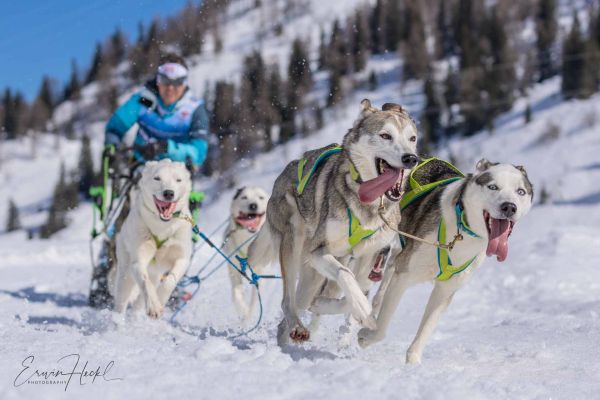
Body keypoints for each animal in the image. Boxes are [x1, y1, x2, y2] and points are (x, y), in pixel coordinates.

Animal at [109, 158, 193, 319]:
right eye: (157, 178)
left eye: (178, 180)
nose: (168, 193)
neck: (162, 227)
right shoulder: (138, 261)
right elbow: (145, 281)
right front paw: (154, 305)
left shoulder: (182, 259)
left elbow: (170, 281)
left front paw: (160, 298)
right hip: (126, 274)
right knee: (122, 301)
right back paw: (118, 320)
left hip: (155, 273)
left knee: (139, 303)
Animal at [223, 186, 270, 322]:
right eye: (244, 197)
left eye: (261, 197)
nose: (253, 205)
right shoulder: (234, 268)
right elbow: (236, 293)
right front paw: (243, 311)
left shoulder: (259, 273)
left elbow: (255, 300)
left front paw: (249, 317)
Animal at [247, 99, 419, 346]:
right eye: (386, 135)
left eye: (412, 138)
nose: (410, 158)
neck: (368, 204)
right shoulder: (319, 251)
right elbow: (346, 277)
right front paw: (362, 309)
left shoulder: (369, 258)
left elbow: (355, 292)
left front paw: (358, 312)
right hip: (294, 240)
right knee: (288, 301)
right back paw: (296, 326)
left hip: (313, 276)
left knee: (298, 306)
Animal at [357, 159, 534, 363]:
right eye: (493, 186)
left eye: (520, 191)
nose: (509, 207)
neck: (460, 230)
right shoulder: (404, 276)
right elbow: (382, 328)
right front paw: (365, 336)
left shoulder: (445, 290)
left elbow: (424, 331)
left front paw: (413, 363)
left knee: (380, 291)